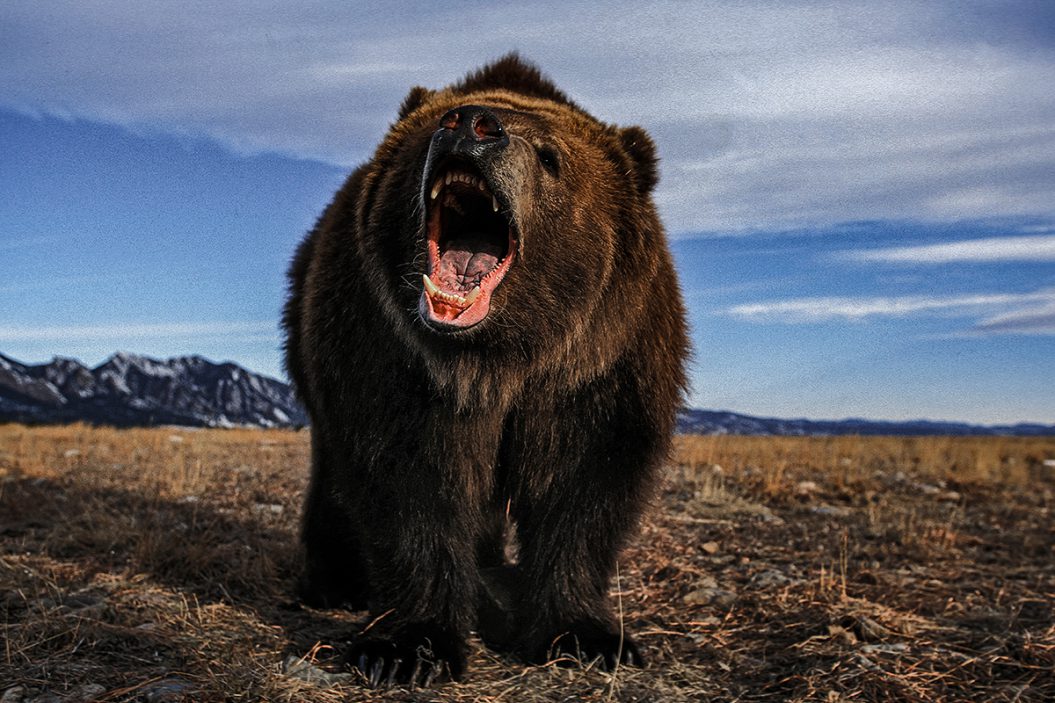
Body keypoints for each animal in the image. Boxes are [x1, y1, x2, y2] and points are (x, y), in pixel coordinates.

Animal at [282, 54, 688, 687]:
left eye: (550, 155)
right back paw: (336, 582)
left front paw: (587, 636)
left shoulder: (597, 365)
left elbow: (585, 486)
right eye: (437, 124)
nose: (472, 124)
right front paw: (408, 647)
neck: (499, 358)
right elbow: (411, 480)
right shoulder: (397, 358)